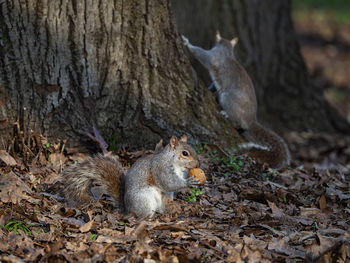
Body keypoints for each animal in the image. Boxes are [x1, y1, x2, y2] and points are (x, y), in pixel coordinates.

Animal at [56, 136, 200, 219]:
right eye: (185, 153)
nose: (198, 164)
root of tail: (127, 210)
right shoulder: (160, 168)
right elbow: (168, 182)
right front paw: (188, 183)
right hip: (145, 200)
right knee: (141, 217)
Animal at [182, 33, 292, 170]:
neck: (227, 51)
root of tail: (251, 121)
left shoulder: (214, 57)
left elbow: (200, 54)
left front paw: (186, 42)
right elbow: (213, 85)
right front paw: (210, 89)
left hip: (228, 98)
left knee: (238, 122)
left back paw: (226, 114)